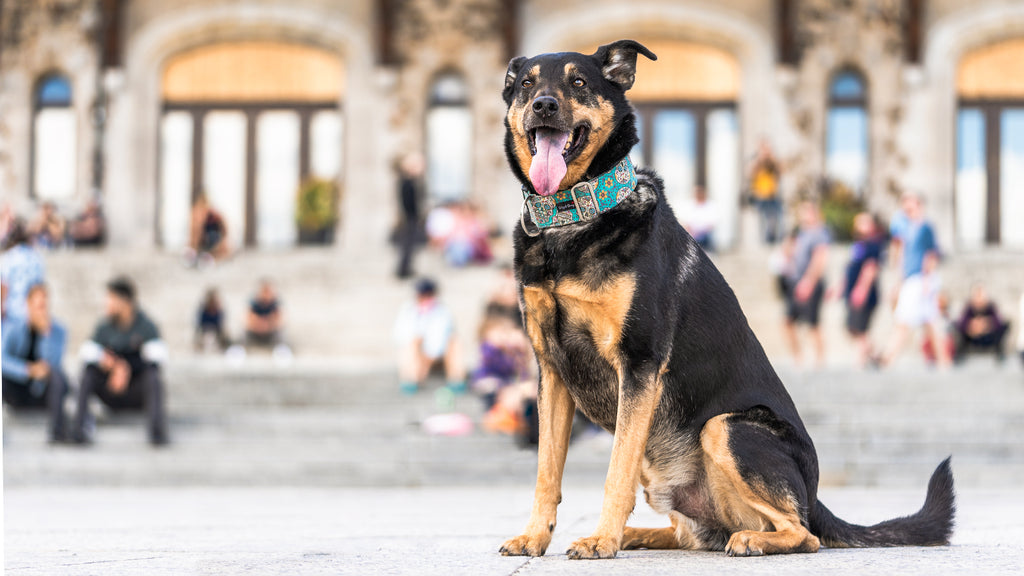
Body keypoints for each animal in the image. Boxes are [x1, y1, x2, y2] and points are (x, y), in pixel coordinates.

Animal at [495, 39, 950, 557]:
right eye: (526, 84)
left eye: (578, 82)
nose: (543, 106)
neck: (572, 219)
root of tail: (815, 497)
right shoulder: (551, 370)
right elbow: (547, 471)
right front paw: (535, 537)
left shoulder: (639, 363)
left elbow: (617, 469)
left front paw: (602, 541)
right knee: (692, 533)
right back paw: (640, 534)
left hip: (726, 427)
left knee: (803, 533)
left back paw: (744, 539)